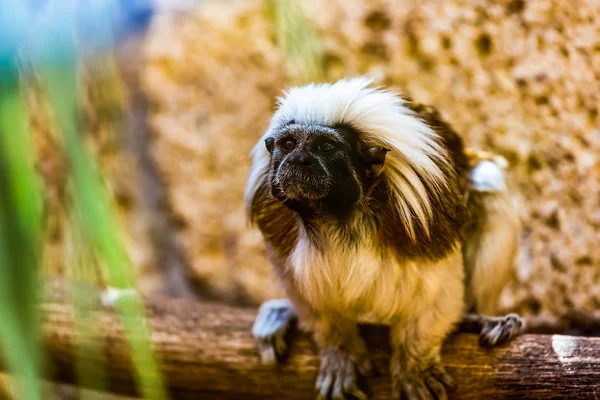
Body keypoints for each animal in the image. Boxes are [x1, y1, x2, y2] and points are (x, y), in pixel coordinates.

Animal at [246, 76, 524, 398]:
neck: (336, 219)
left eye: (326, 146)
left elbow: (435, 296)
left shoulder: (427, 226)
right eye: (288, 144)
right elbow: (316, 305)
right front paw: (341, 354)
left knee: (488, 182)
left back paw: (477, 318)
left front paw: (415, 365)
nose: (299, 159)